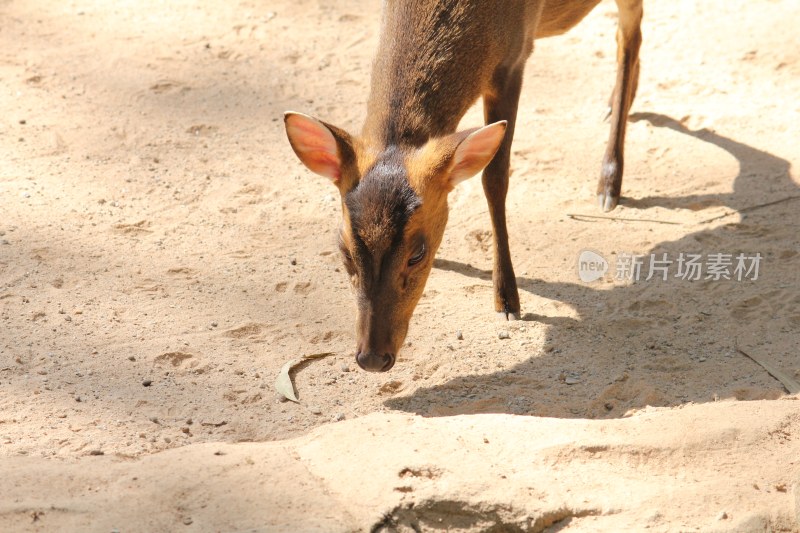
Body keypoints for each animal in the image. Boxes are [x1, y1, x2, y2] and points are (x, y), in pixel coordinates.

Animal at [284, 0, 640, 372]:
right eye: (344, 251)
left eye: (417, 254)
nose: (372, 358)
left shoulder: (513, 59)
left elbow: (494, 177)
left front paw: (507, 299)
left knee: (629, 38)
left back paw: (609, 182)